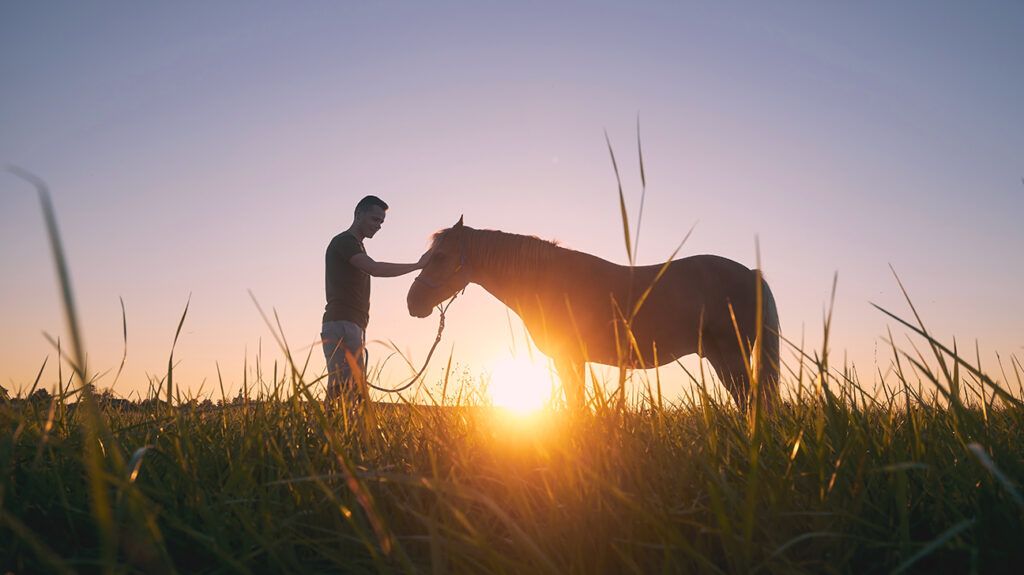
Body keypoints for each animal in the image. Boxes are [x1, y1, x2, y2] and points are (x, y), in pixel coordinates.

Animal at [403, 216, 778, 409]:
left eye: (440, 257)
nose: (413, 303)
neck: (545, 281)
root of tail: (751, 273)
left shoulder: (570, 358)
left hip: (732, 355)